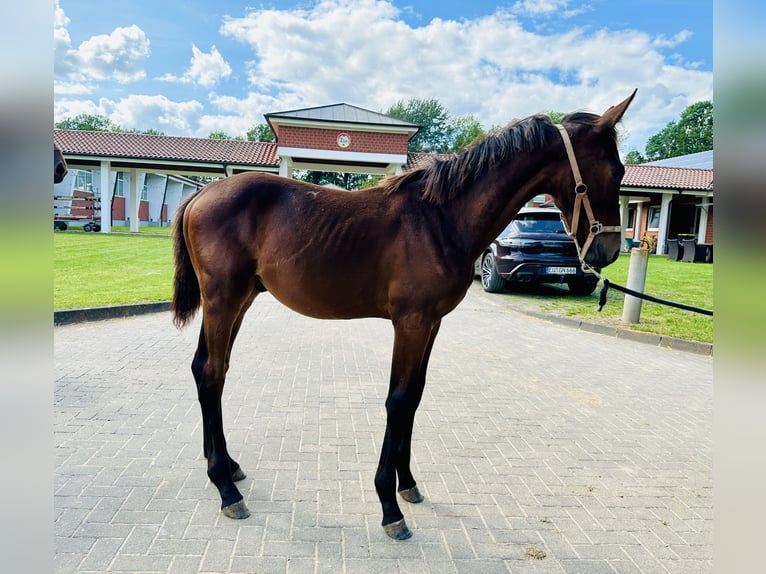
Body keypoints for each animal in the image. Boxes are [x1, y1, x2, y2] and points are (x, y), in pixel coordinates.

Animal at [172, 90, 636, 540]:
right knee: (212, 373)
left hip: (240, 300)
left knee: (205, 368)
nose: (608, 251)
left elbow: (414, 396)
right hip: (224, 299)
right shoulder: (410, 323)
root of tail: (200, 194)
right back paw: (226, 489)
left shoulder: (432, 323)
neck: (440, 219)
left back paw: (227, 467)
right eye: (615, 171)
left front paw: (407, 484)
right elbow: (397, 400)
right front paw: (388, 506)